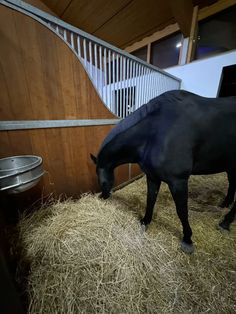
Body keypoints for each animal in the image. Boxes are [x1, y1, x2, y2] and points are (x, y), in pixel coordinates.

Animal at [91, 90, 236, 253]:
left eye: (102, 181)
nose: (103, 196)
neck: (155, 132)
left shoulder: (178, 181)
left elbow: (182, 211)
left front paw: (187, 239)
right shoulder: (153, 177)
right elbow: (150, 200)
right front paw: (145, 222)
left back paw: (225, 223)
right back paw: (225, 206)